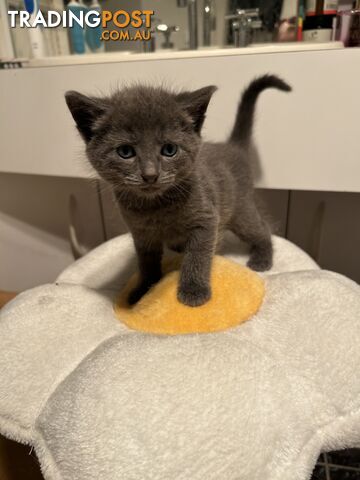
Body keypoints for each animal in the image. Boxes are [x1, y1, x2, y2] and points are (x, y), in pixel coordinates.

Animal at [64, 75, 290, 308]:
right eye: (125, 152)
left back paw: (262, 258)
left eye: (169, 150)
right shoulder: (141, 234)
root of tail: (233, 147)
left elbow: (197, 255)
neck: (156, 206)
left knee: (263, 228)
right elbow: (146, 264)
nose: (150, 175)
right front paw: (143, 291)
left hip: (241, 211)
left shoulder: (206, 218)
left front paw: (193, 290)